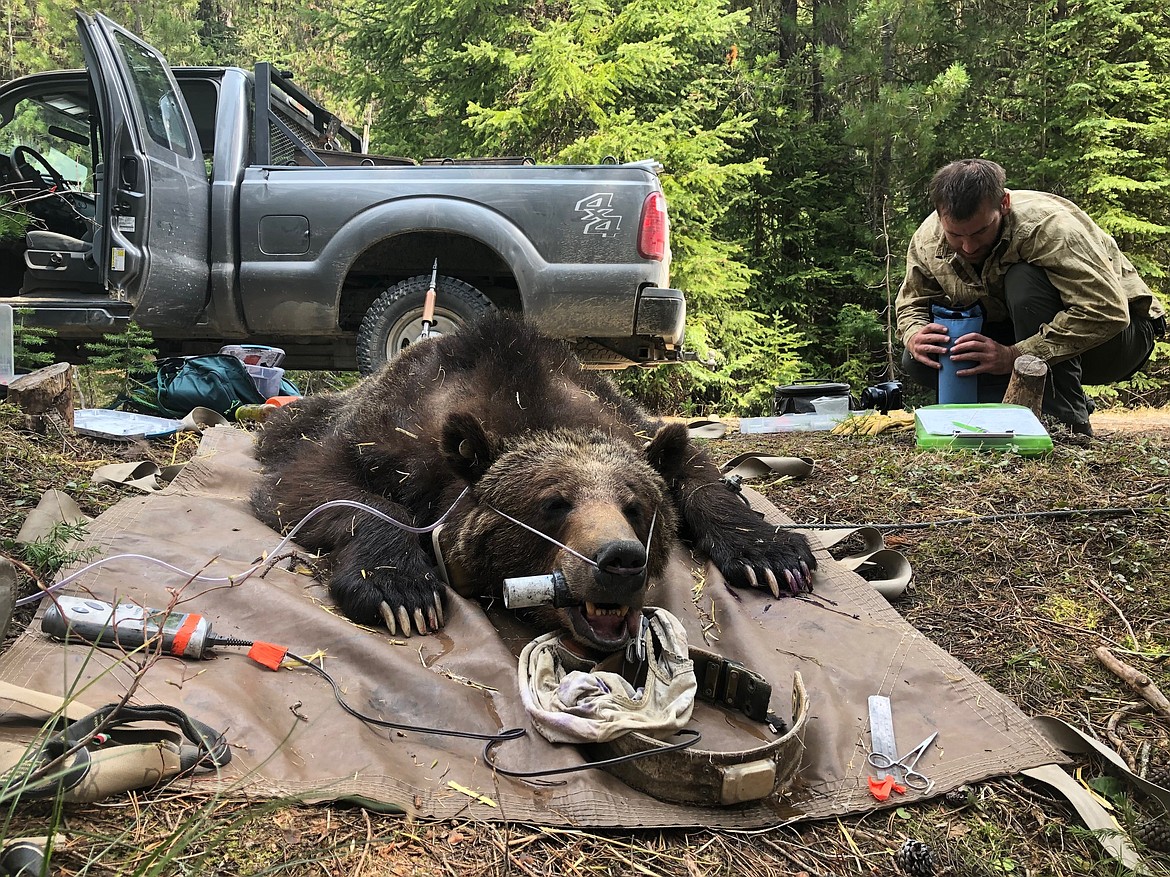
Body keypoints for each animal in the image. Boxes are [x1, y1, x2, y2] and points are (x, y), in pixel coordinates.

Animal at [252, 315, 814, 654]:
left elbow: (696, 468)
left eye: (635, 507)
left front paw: (774, 555)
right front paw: (400, 589)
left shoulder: (621, 418)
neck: (520, 395)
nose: (619, 560)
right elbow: (315, 483)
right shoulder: (388, 435)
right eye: (553, 504)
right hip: (324, 409)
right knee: (287, 424)